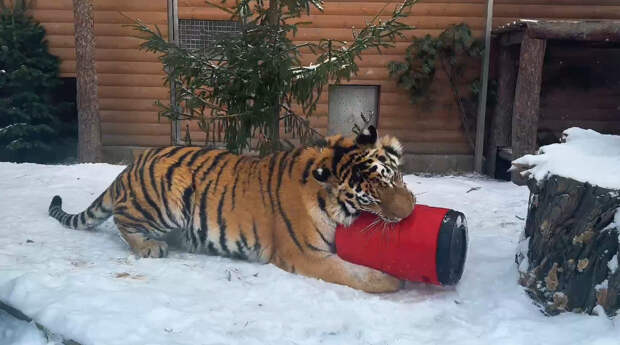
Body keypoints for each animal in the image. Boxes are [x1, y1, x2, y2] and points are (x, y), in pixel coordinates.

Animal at [49, 125, 416, 292]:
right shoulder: (304, 254)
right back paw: (150, 246)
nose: (411, 211)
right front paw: (392, 281)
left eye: (393, 176)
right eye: (369, 198)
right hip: (162, 202)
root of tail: (129, 167)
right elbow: (353, 273)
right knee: (123, 220)